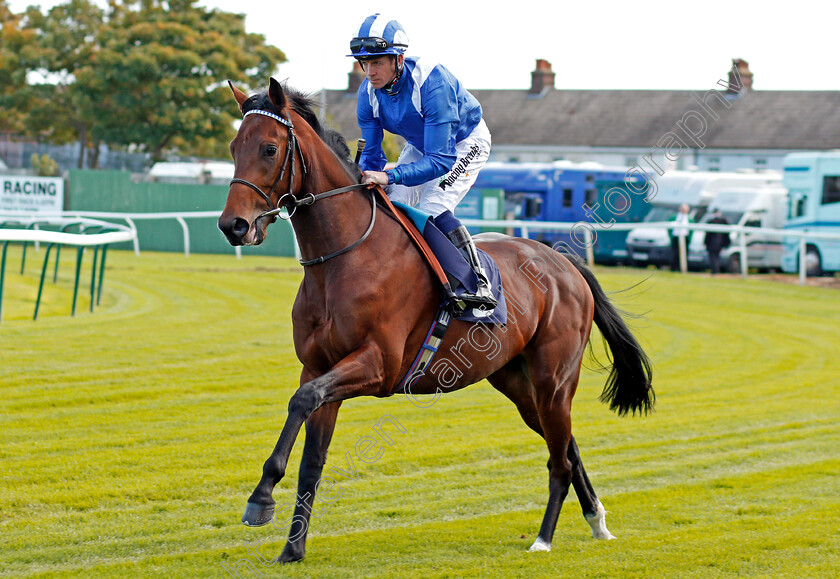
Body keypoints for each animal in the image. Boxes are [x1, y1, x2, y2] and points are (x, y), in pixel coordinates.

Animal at [218, 77, 656, 560]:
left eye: (270, 148)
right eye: (235, 146)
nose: (234, 226)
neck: (344, 259)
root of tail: (564, 262)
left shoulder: (378, 365)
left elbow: (301, 402)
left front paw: (261, 497)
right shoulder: (318, 367)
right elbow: (311, 455)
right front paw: (292, 549)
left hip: (554, 379)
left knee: (559, 458)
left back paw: (543, 538)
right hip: (518, 383)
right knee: (568, 445)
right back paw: (597, 521)